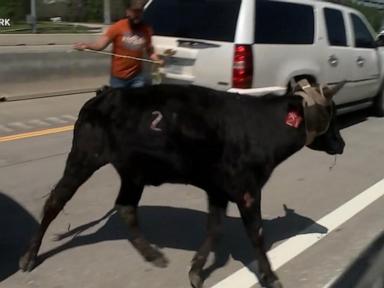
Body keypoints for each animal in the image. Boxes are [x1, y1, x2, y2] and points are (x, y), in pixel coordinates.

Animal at [19, 80, 346, 288]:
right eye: (331, 112)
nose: (341, 144)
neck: (263, 127)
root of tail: (104, 94)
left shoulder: (219, 190)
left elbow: (214, 230)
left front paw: (196, 270)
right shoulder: (247, 189)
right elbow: (256, 233)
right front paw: (271, 277)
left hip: (133, 172)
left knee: (125, 207)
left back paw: (153, 255)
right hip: (84, 157)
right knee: (55, 201)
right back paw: (29, 257)